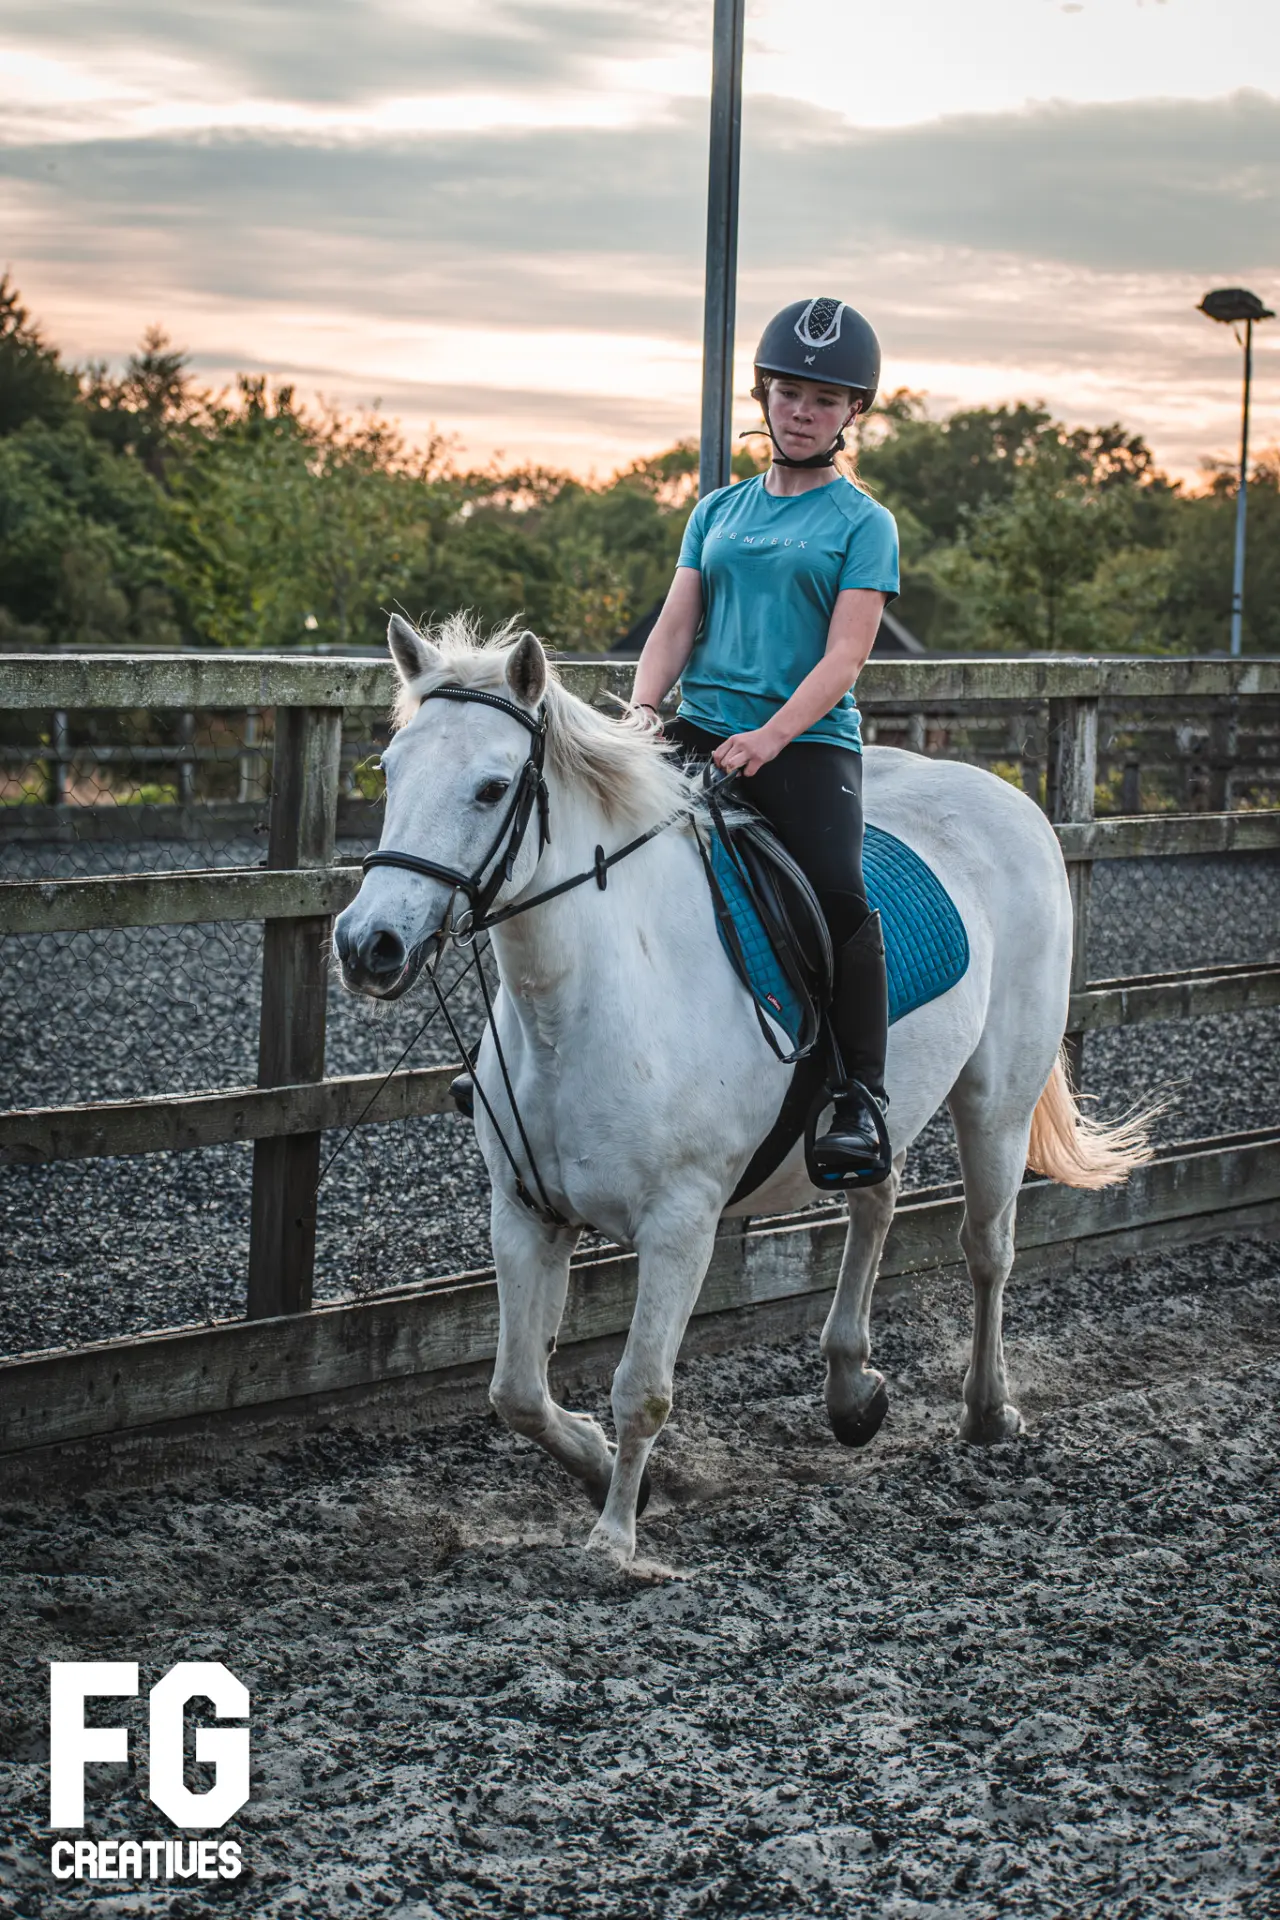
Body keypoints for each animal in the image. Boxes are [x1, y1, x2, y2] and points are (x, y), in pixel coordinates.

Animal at [334, 613, 1152, 1565]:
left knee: (988, 1251)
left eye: (492, 787)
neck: (590, 1001)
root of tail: (1011, 800)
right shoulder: (526, 1209)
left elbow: (643, 1386)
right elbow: (516, 1392)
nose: (368, 945)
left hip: (997, 1103)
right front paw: (603, 1470)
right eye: (391, 769)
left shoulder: (680, 1224)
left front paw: (615, 1540)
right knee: (876, 1200)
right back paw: (852, 1390)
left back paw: (988, 1412)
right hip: (876, 1115)